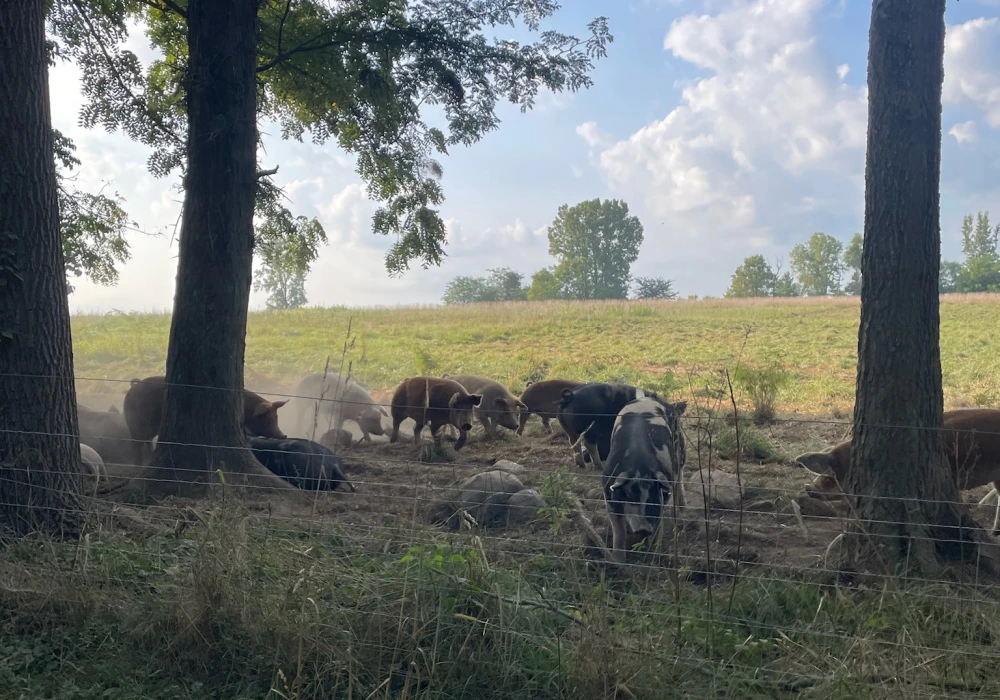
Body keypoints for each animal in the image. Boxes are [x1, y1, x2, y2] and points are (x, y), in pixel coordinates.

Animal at [123, 374, 290, 468]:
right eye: (266, 419)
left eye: (276, 418)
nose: (284, 435)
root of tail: (133, 388)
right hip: (136, 423)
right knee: (136, 444)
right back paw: (138, 465)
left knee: (146, 442)